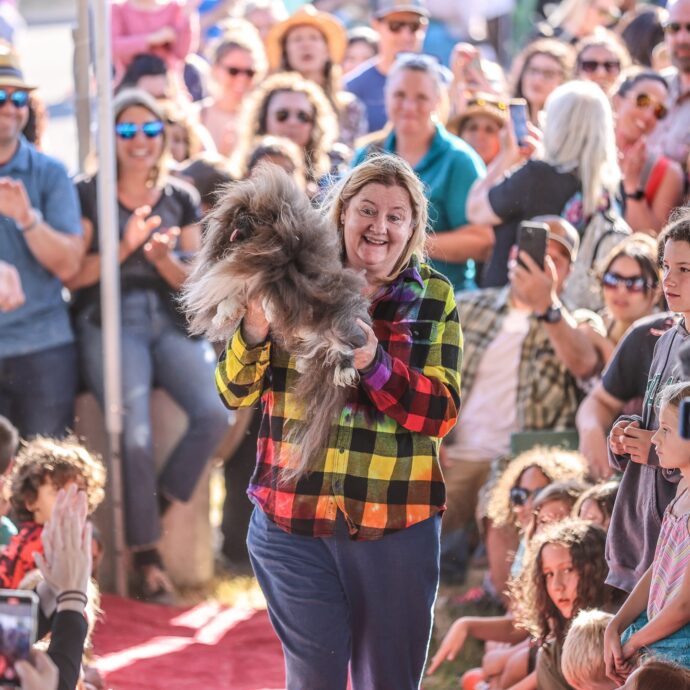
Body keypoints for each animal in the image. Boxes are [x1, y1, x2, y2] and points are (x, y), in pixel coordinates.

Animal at [180, 166, 368, 478]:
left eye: (258, 219)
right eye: (238, 214)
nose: (241, 219)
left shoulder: (277, 273)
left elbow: (263, 286)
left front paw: (264, 306)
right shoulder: (242, 284)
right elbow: (233, 297)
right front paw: (226, 313)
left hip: (339, 325)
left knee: (344, 347)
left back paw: (343, 370)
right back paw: (305, 360)